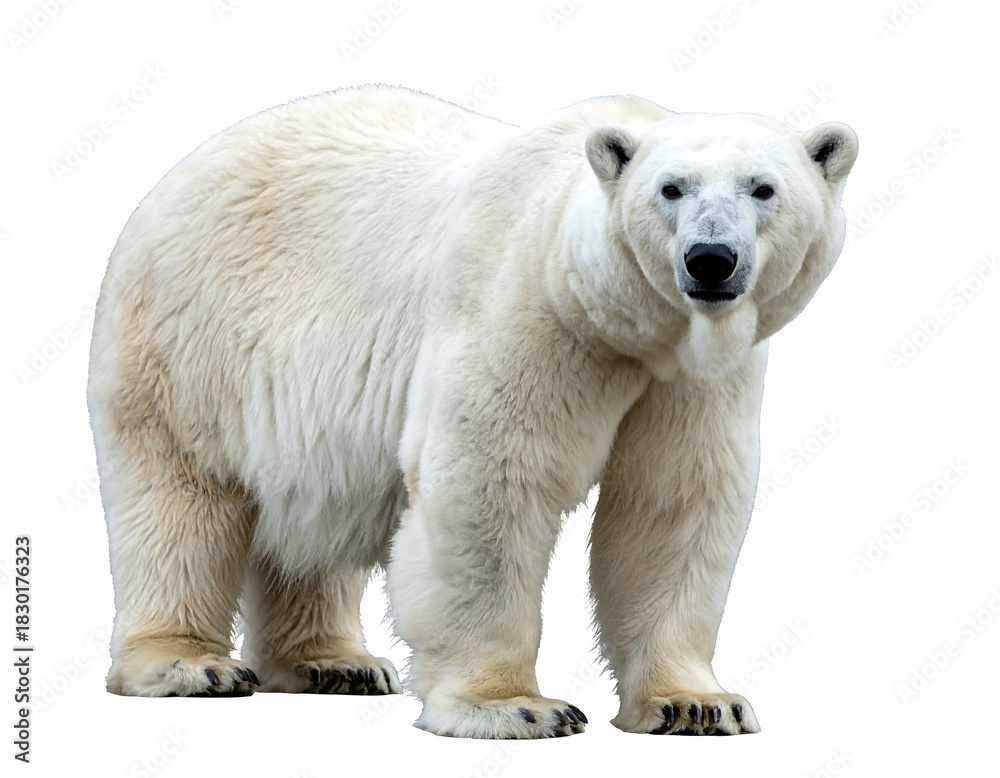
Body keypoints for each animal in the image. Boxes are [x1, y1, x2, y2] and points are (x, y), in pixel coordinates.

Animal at [88, 85, 857, 738]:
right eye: (670, 189)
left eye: (764, 188)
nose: (710, 259)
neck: (616, 319)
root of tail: (174, 173)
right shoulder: (526, 311)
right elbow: (490, 482)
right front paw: (516, 707)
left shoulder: (692, 380)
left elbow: (670, 503)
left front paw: (696, 704)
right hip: (191, 340)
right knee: (179, 497)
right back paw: (190, 664)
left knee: (312, 512)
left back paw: (334, 662)